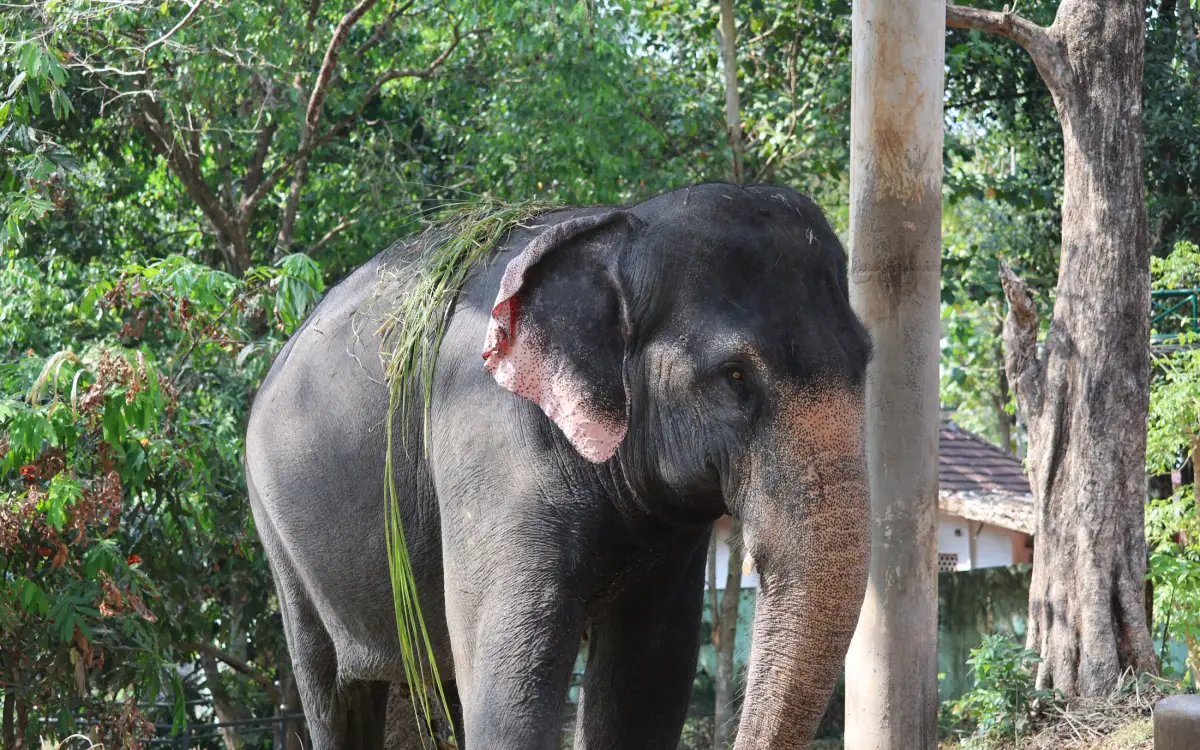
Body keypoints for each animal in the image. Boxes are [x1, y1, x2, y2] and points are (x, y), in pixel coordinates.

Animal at [245, 182, 873, 750]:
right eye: (735, 375)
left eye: (865, 360)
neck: (621, 231)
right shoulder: (488, 439)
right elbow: (510, 692)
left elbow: (647, 681)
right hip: (279, 535)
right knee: (332, 688)